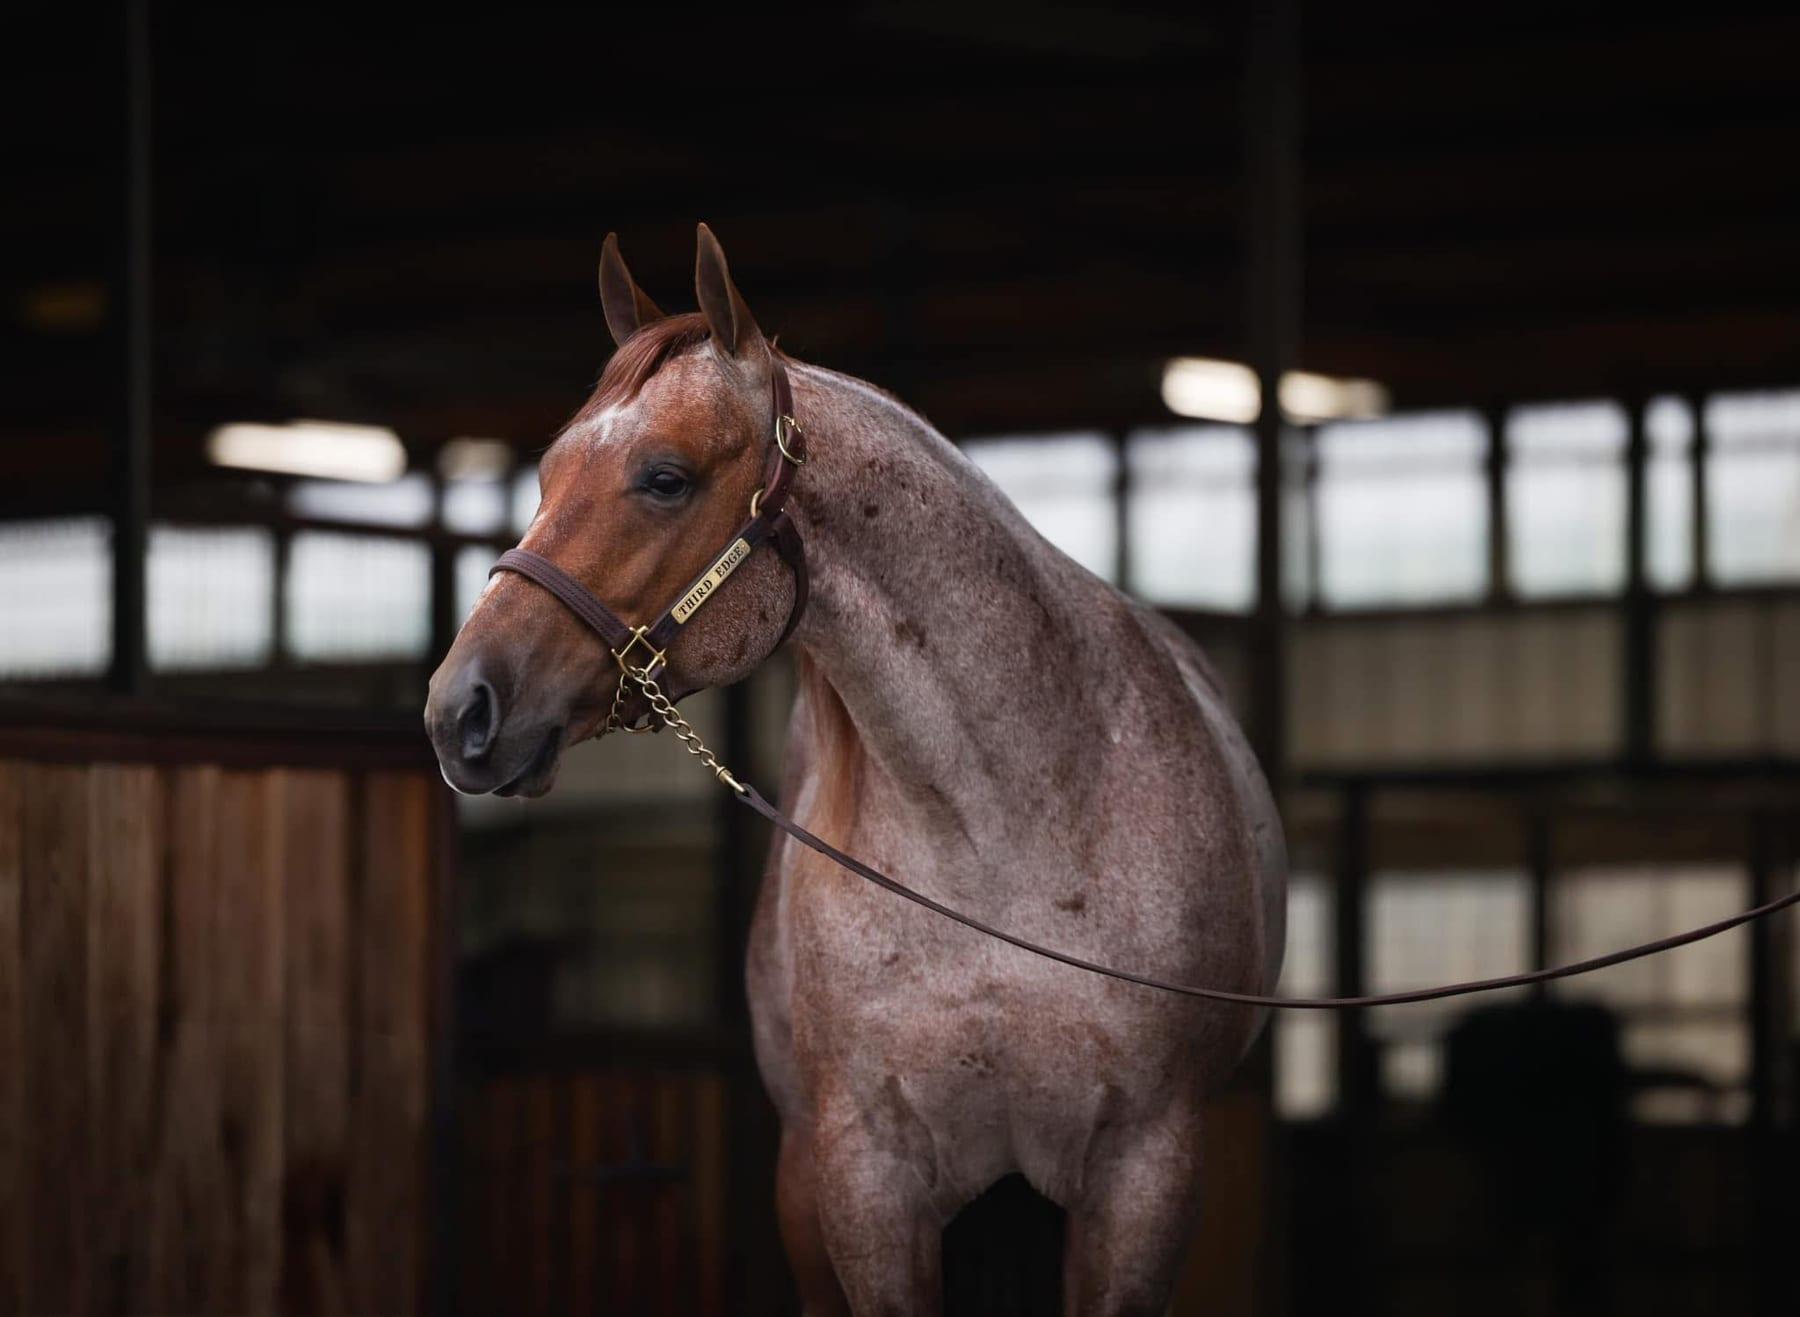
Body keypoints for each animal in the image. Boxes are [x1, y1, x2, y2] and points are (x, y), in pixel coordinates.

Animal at [425, 225, 1287, 1316]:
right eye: (544, 472)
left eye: (665, 477)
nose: (459, 710)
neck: (998, 841)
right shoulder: (866, 1176)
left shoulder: (1147, 1173)